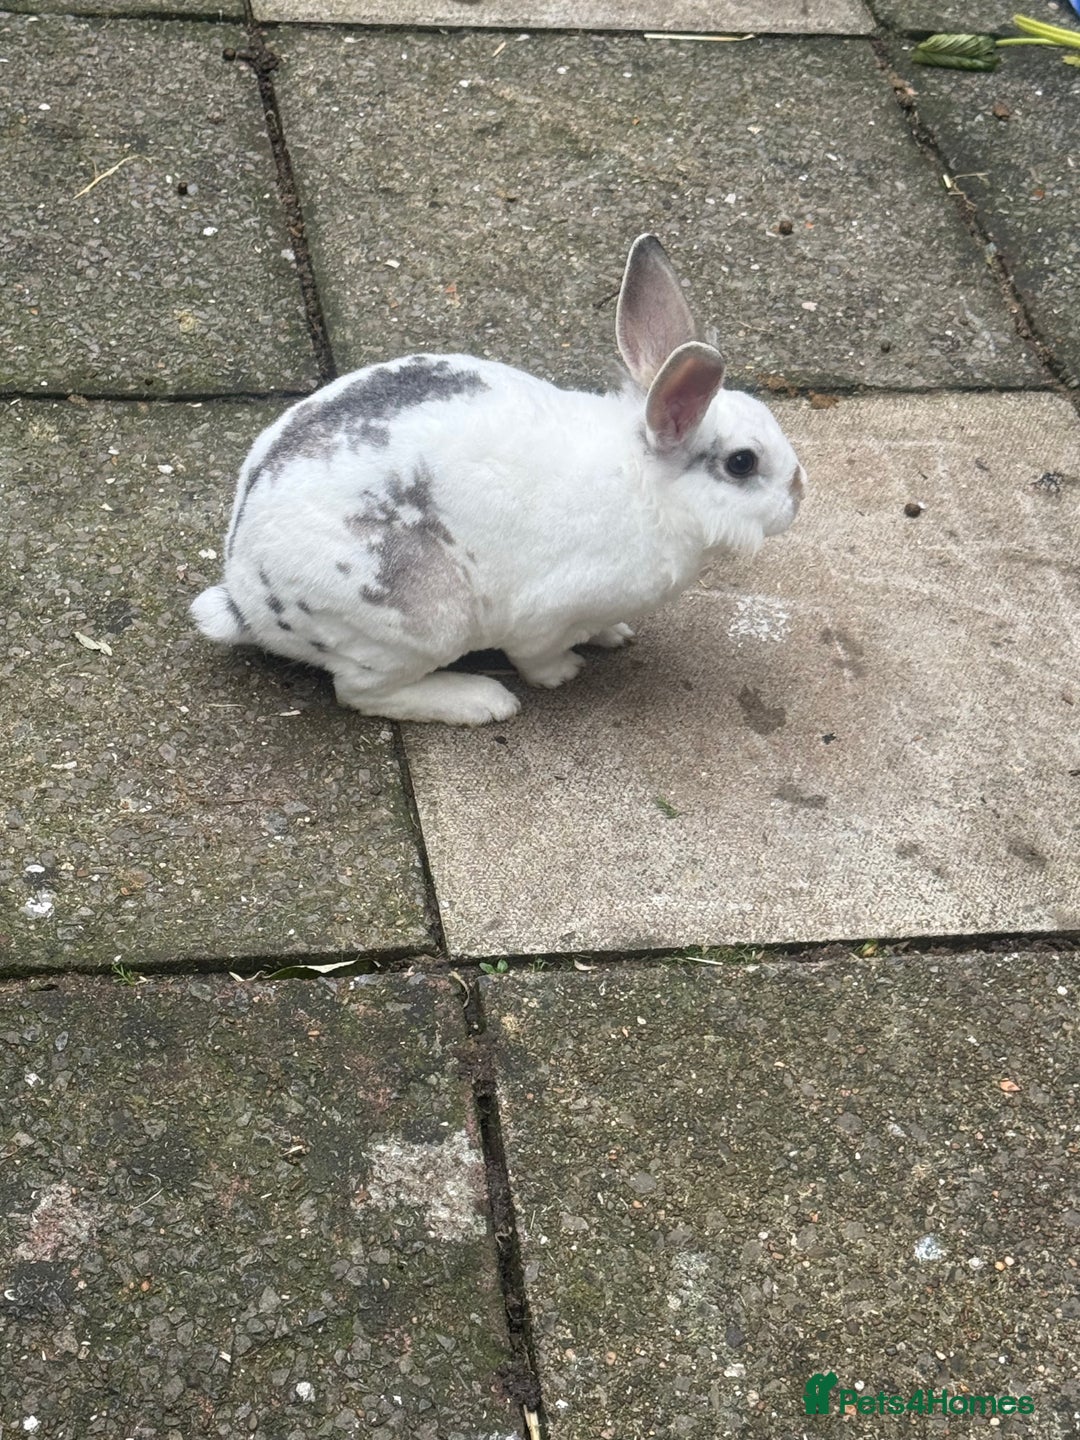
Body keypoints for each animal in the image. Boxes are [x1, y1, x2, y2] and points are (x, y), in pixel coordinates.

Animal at [191, 234, 806, 725]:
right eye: (743, 463)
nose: (799, 496)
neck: (649, 485)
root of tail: (246, 599)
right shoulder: (544, 616)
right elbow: (538, 656)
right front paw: (565, 672)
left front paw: (614, 635)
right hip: (418, 622)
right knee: (362, 693)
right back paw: (483, 701)